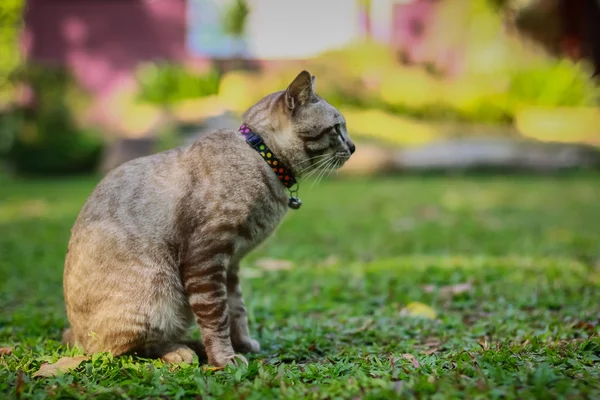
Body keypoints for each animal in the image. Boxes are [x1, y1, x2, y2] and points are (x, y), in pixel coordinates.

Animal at [64, 71, 356, 366]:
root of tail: (75, 337)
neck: (263, 160)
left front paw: (242, 345)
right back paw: (182, 351)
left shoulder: (231, 264)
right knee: (131, 348)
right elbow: (217, 317)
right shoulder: (207, 258)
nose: (354, 147)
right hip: (159, 296)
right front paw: (225, 359)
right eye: (337, 129)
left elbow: (237, 310)